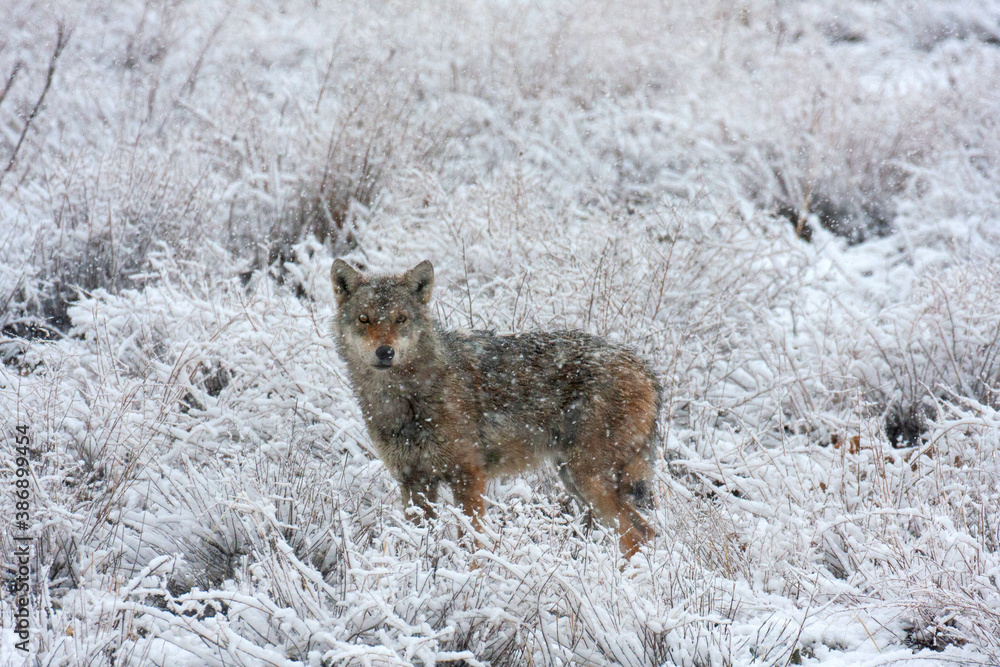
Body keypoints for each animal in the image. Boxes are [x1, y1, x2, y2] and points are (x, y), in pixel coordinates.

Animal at [331, 259, 661, 558]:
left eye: (401, 319)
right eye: (364, 318)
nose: (385, 352)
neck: (406, 397)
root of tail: (644, 366)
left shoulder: (468, 476)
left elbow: (471, 541)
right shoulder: (413, 481)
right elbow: (419, 539)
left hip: (587, 479)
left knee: (637, 536)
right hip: (573, 480)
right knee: (643, 531)